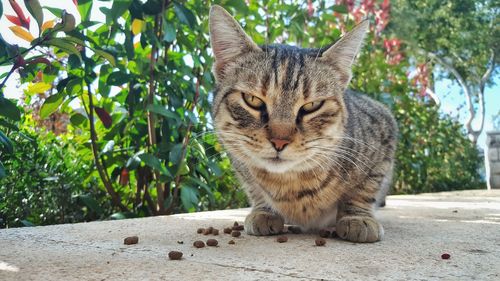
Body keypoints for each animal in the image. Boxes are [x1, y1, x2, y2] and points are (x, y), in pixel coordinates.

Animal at [209, 4, 396, 242]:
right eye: (252, 100)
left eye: (312, 105)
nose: (279, 141)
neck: (289, 185)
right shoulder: (239, 161)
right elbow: (254, 189)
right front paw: (263, 211)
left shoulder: (385, 130)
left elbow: (365, 189)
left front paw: (356, 217)